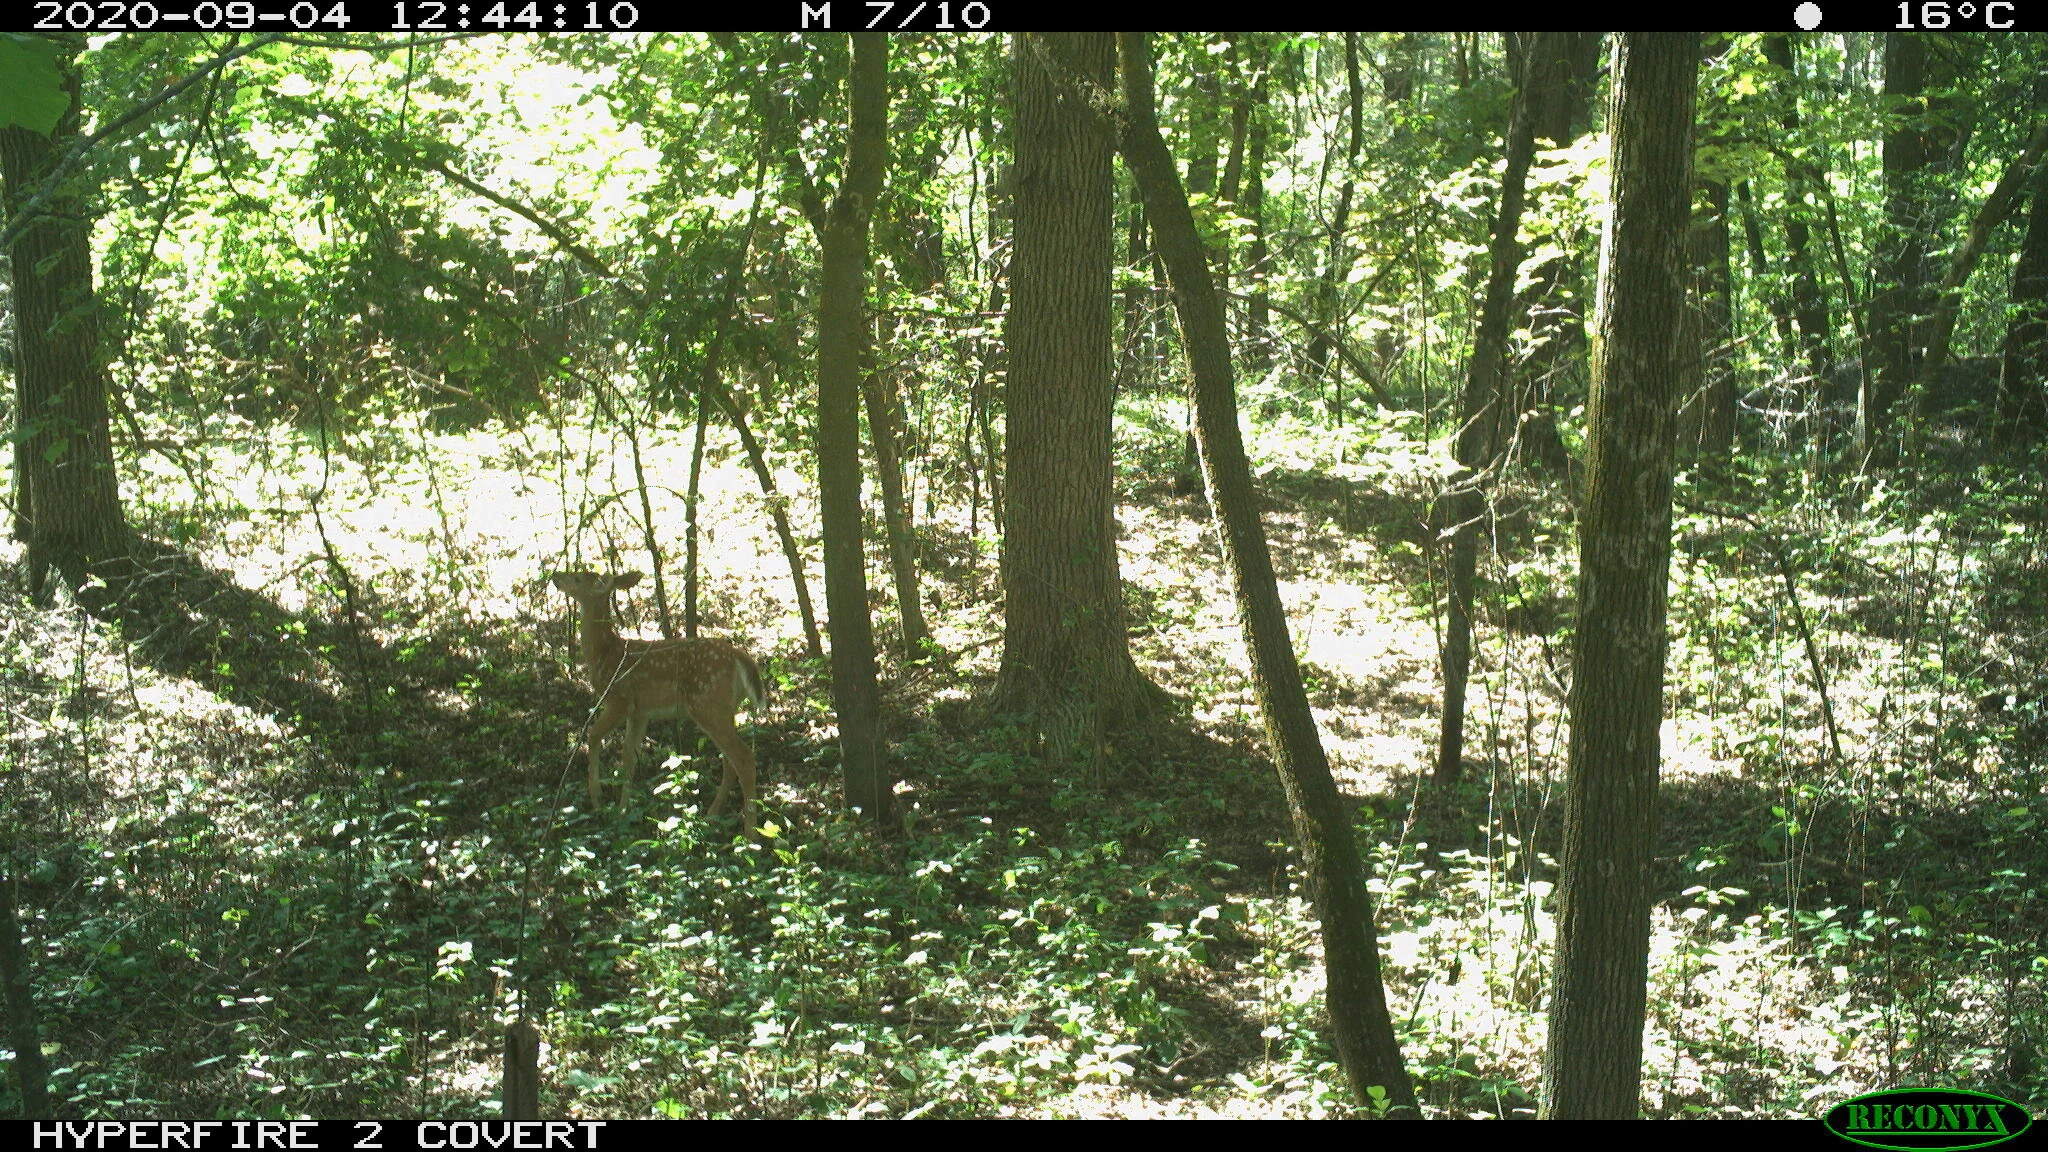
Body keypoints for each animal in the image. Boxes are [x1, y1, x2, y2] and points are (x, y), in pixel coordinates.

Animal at [549, 570, 767, 837]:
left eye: (578, 577)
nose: (555, 575)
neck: (604, 653)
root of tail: (740, 656)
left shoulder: (619, 699)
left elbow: (593, 735)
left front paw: (598, 800)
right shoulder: (639, 712)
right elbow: (629, 758)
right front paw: (622, 811)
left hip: (707, 703)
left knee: (743, 757)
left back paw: (750, 833)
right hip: (724, 708)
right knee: (729, 759)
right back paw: (712, 814)